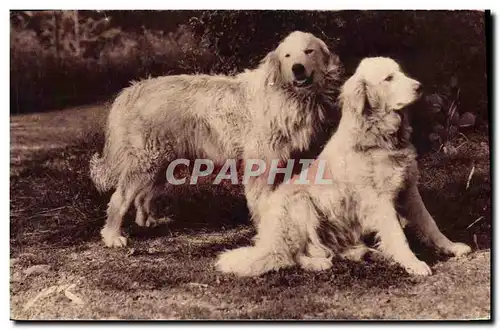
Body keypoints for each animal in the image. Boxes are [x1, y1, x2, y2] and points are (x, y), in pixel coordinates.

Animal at [90, 31, 342, 248]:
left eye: (309, 51)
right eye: (287, 56)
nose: (297, 68)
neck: (286, 94)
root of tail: (131, 90)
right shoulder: (261, 163)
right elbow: (262, 201)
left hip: (161, 163)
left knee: (142, 196)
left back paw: (147, 221)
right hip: (147, 161)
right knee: (120, 198)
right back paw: (112, 236)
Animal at [217, 58, 470, 278]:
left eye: (400, 72)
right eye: (388, 78)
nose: (420, 87)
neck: (381, 138)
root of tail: (267, 242)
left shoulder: (409, 190)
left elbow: (429, 223)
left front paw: (451, 246)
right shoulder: (380, 200)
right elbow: (398, 235)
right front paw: (413, 263)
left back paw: (366, 252)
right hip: (299, 202)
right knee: (291, 255)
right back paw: (318, 263)